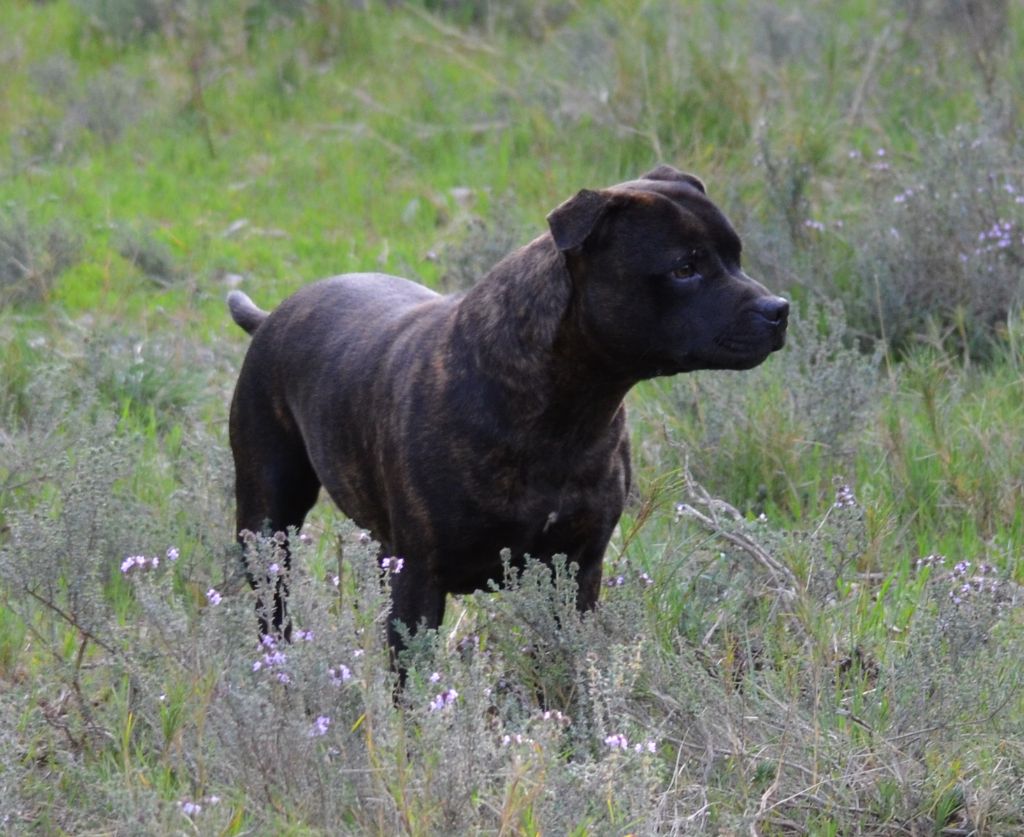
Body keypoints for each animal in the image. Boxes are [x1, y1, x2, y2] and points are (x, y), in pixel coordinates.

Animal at [228, 166, 786, 667]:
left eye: (736, 256)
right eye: (683, 269)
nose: (779, 309)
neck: (566, 411)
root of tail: (271, 317)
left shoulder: (579, 569)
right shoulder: (421, 580)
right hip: (267, 521)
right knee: (272, 607)